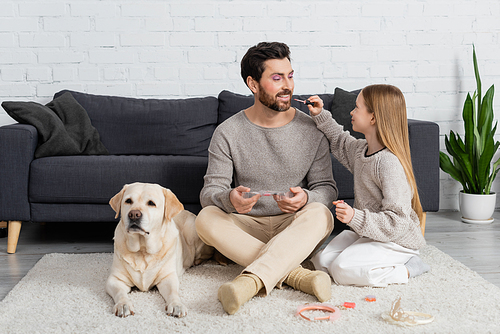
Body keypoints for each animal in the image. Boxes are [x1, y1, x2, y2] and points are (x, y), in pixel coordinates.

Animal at [106, 183, 212, 318]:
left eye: (151, 203)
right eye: (128, 201)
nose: (134, 214)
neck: (142, 250)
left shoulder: (168, 278)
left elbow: (173, 292)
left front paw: (176, 305)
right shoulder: (115, 279)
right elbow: (120, 293)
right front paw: (123, 305)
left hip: (193, 230)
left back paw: (196, 261)